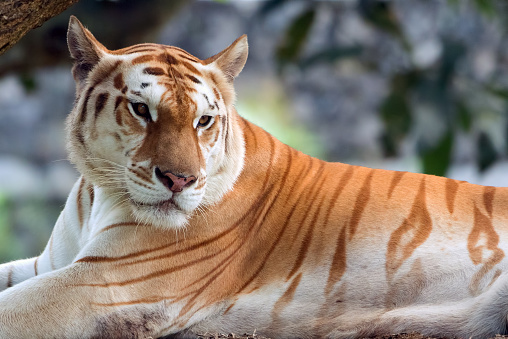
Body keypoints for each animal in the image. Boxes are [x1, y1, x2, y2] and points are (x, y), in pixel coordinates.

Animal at [0, 15, 508, 339]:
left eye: (203, 121)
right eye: (141, 110)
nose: (180, 181)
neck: (101, 193)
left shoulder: (102, 284)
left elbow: (12, 309)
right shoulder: (51, 265)